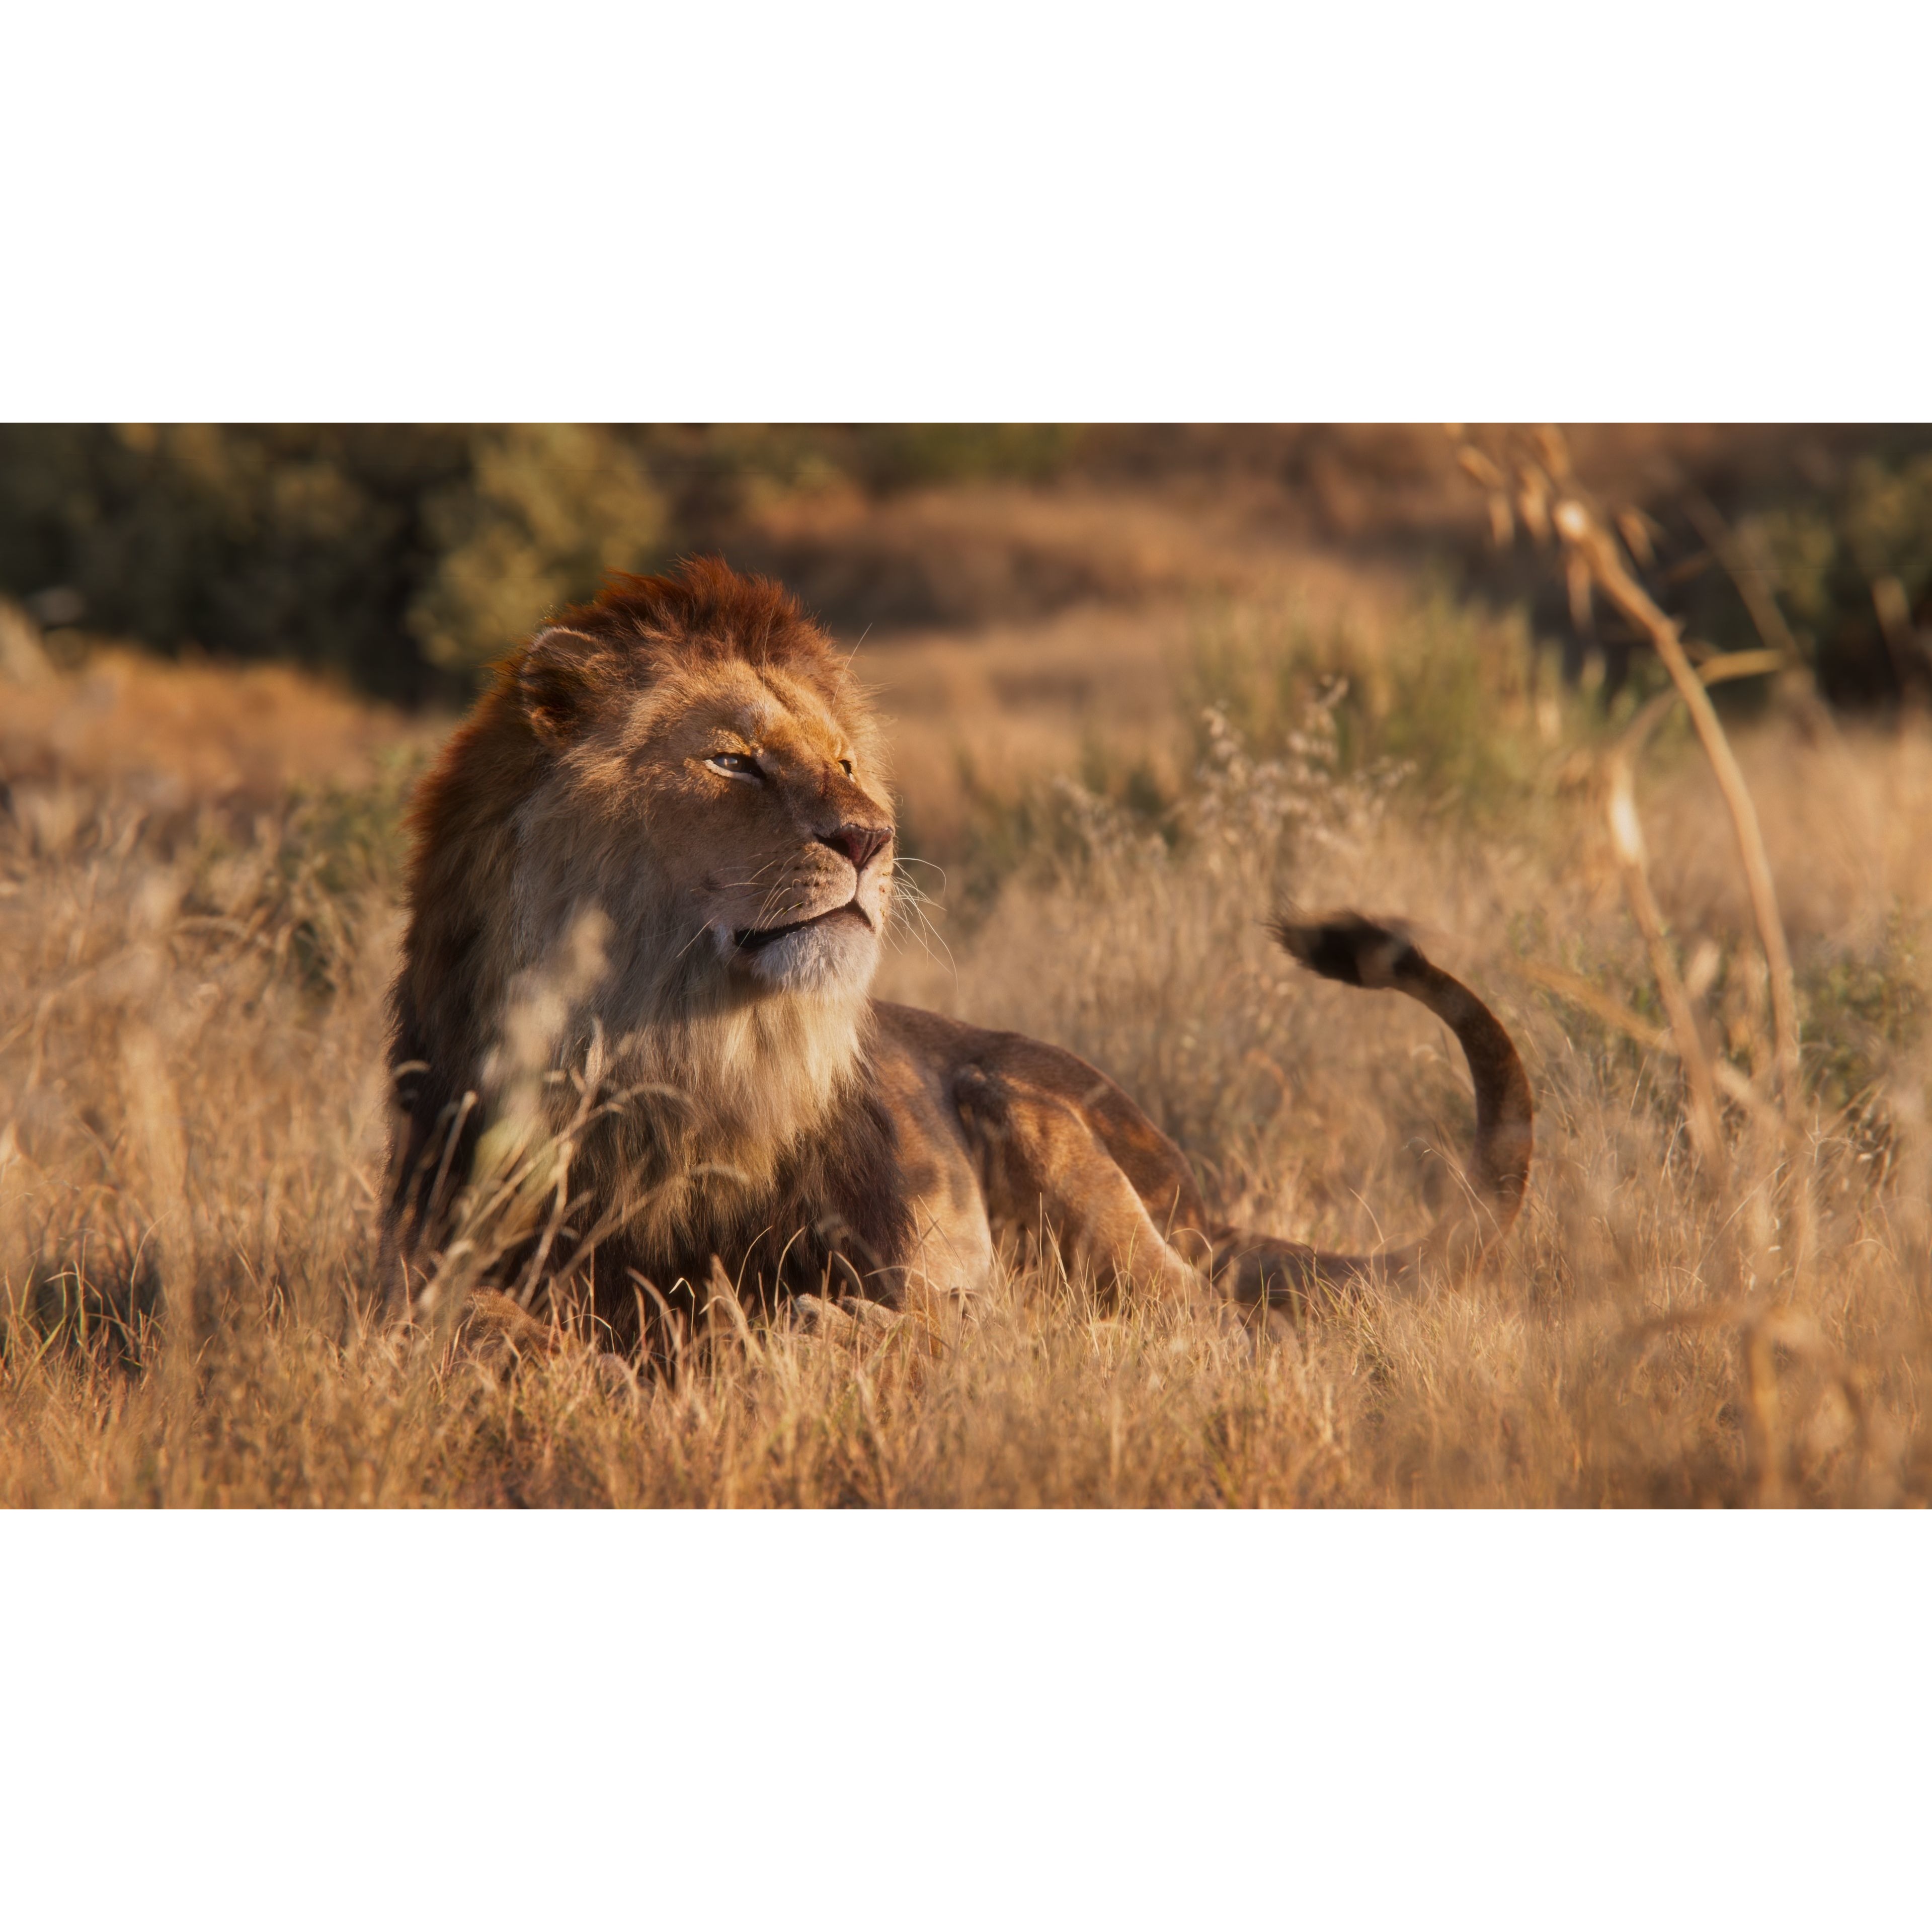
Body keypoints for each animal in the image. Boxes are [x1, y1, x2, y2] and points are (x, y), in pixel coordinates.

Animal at [385, 557, 1532, 1355]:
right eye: (733, 762)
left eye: (846, 764)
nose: (871, 838)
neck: (684, 1054)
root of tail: (1192, 1190)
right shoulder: (424, 1252)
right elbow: (461, 1326)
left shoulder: (912, 1249)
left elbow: (925, 1314)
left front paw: (810, 1332)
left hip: (1029, 1113)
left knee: (1207, 1320)